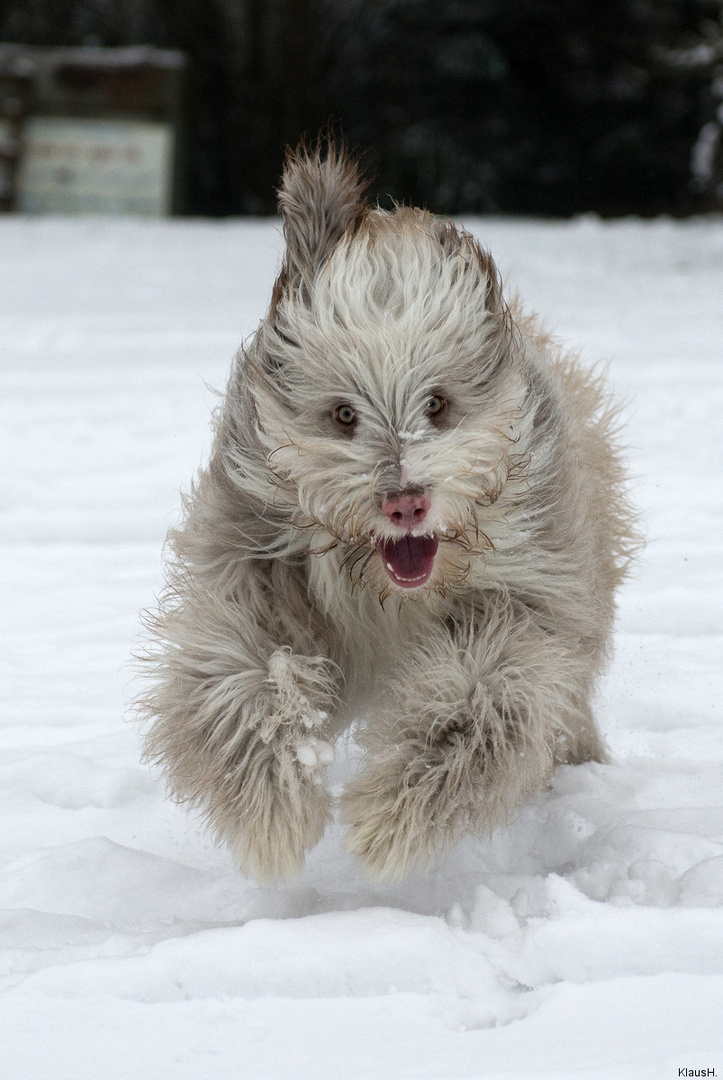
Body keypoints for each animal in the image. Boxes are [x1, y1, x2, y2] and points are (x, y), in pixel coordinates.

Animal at [138, 141, 635, 885]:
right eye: (344, 414)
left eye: (437, 404)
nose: (404, 501)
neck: (389, 594)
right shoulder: (251, 570)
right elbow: (237, 676)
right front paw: (274, 811)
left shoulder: (534, 601)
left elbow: (485, 697)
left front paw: (388, 821)